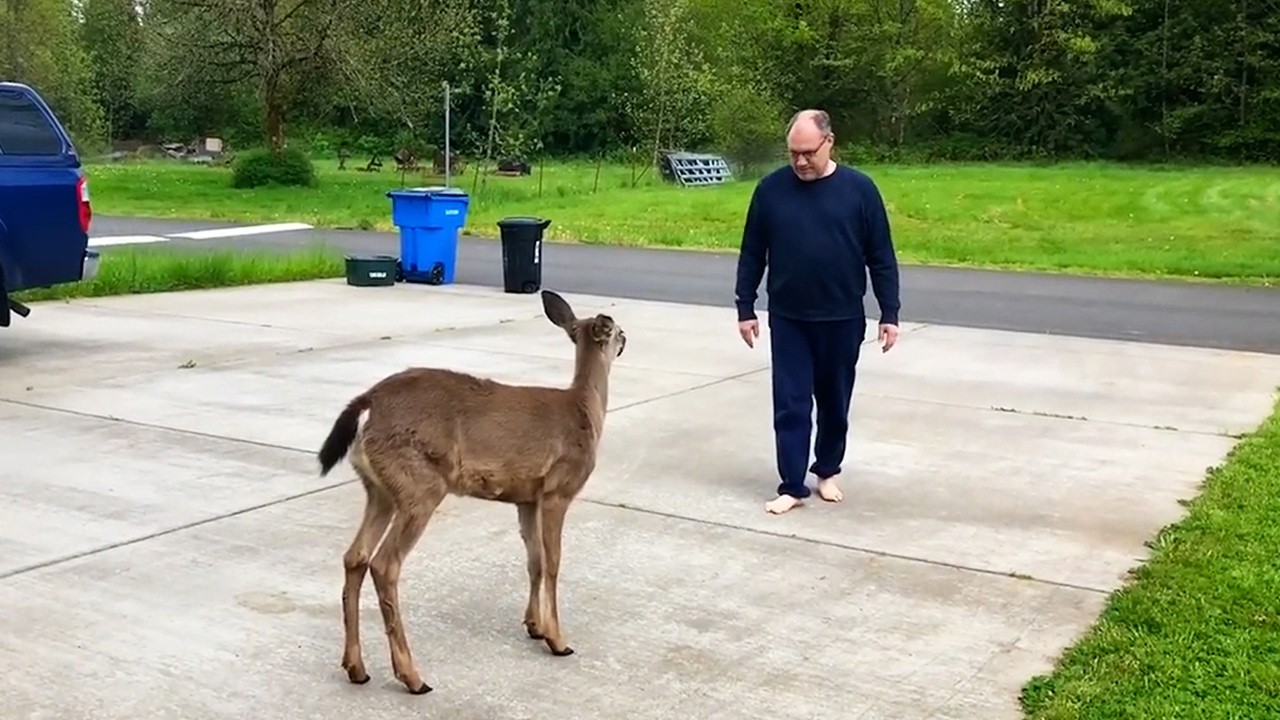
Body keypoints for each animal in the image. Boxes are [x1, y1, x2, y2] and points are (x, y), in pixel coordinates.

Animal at [315, 289, 626, 695]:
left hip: (380, 489)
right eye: (620, 332)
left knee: (355, 557)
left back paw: (356, 668)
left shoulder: (527, 497)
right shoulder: (558, 489)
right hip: (420, 485)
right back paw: (412, 676)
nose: (626, 340)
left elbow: (534, 560)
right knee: (384, 564)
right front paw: (558, 640)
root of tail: (369, 402)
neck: (585, 410)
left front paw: (534, 626)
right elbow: (554, 562)